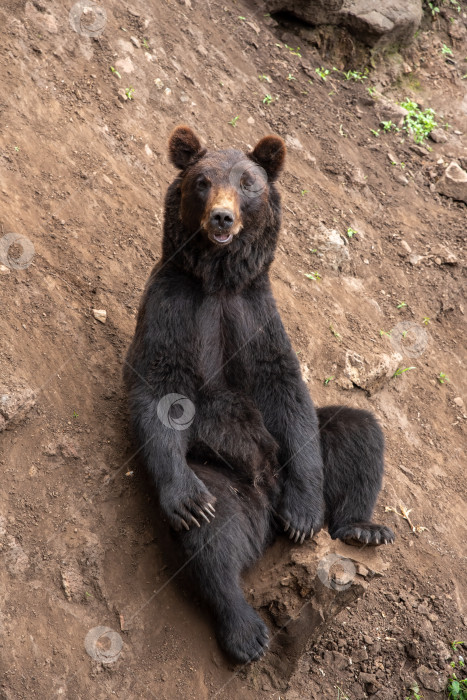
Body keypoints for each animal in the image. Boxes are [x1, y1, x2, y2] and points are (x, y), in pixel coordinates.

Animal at [124, 124, 394, 660]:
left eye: (248, 183)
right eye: (203, 181)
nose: (222, 216)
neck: (219, 283)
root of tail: (268, 518)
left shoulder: (258, 316)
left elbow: (286, 387)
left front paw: (306, 515)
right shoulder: (174, 309)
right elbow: (161, 389)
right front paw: (186, 502)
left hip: (303, 455)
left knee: (357, 431)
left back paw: (361, 527)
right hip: (223, 476)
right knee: (216, 537)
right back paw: (245, 629)